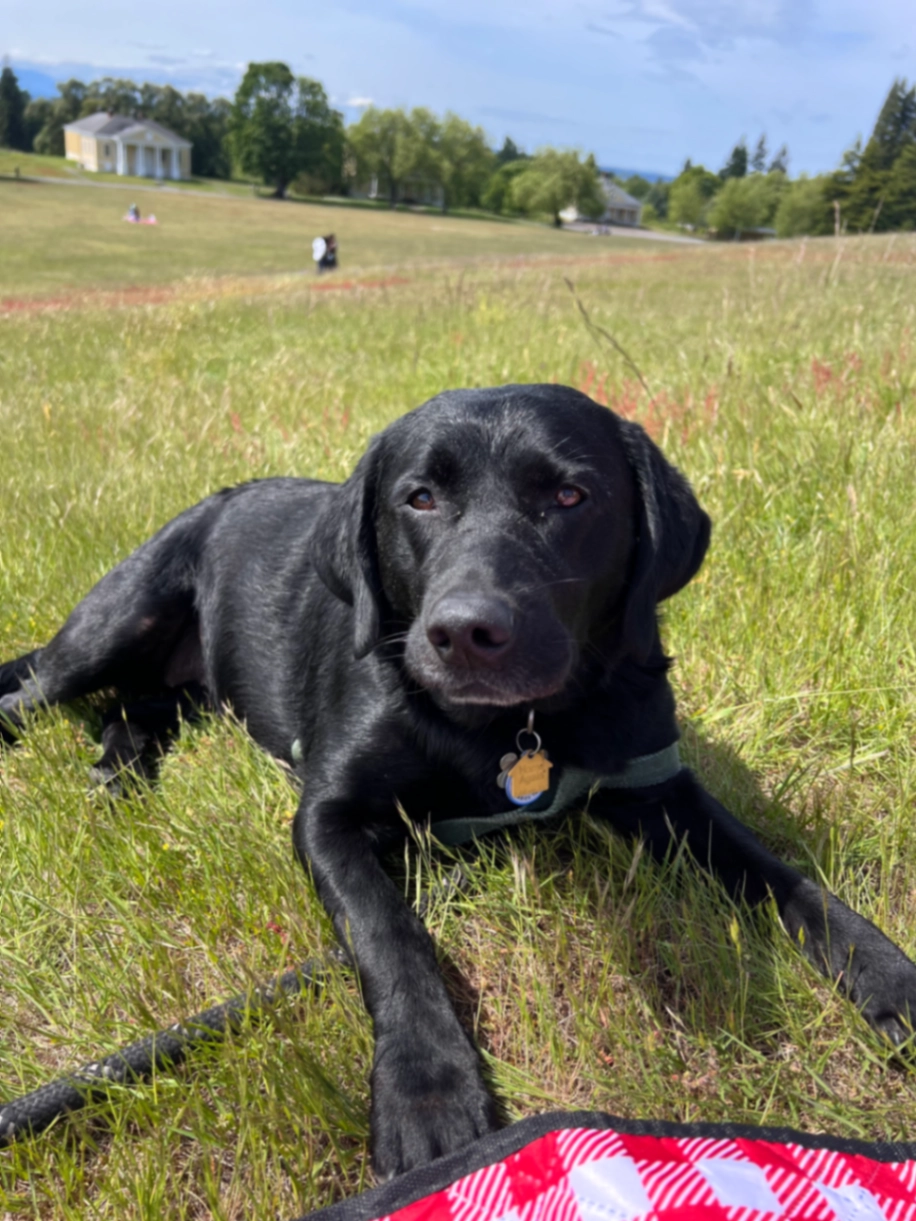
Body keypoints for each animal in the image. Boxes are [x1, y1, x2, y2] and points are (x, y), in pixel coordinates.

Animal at [2, 383, 916, 1178]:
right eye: (419, 499)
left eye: (571, 495)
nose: (465, 631)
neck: (512, 732)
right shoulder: (328, 816)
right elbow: (390, 935)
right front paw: (427, 1090)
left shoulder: (659, 786)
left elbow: (783, 875)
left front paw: (887, 973)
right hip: (116, 621)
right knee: (39, 690)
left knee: (137, 706)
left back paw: (119, 773)